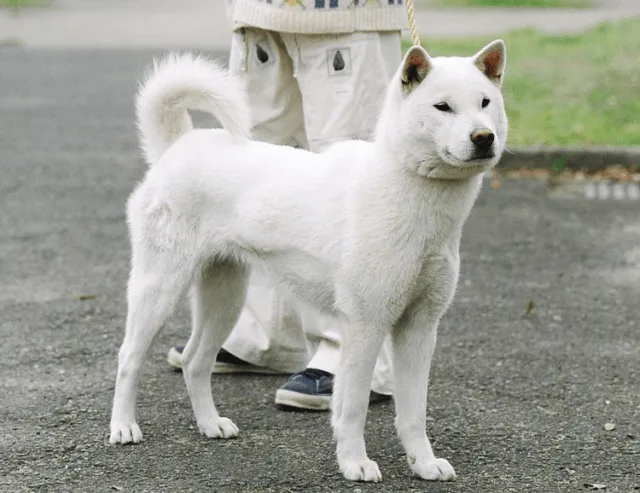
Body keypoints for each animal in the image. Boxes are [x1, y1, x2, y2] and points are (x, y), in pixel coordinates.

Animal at [110, 39, 510, 484]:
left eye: (485, 102)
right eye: (443, 107)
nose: (483, 137)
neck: (407, 188)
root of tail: (177, 146)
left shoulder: (420, 328)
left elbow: (413, 412)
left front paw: (423, 463)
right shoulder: (365, 326)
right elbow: (352, 407)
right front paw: (355, 462)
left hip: (225, 298)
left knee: (196, 363)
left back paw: (210, 424)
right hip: (159, 289)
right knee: (128, 359)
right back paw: (123, 427)